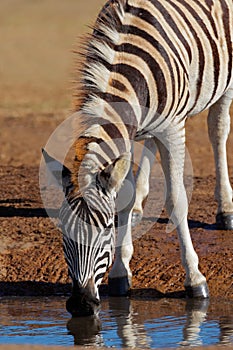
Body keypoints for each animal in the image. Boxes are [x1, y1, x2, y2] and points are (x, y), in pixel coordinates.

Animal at [42, 0, 232, 318]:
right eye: (64, 231)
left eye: (106, 227)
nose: (81, 304)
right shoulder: (129, 132)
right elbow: (124, 197)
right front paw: (121, 274)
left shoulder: (173, 128)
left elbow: (177, 200)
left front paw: (195, 280)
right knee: (150, 146)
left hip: (225, 84)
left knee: (218, 129)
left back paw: (226, 209)